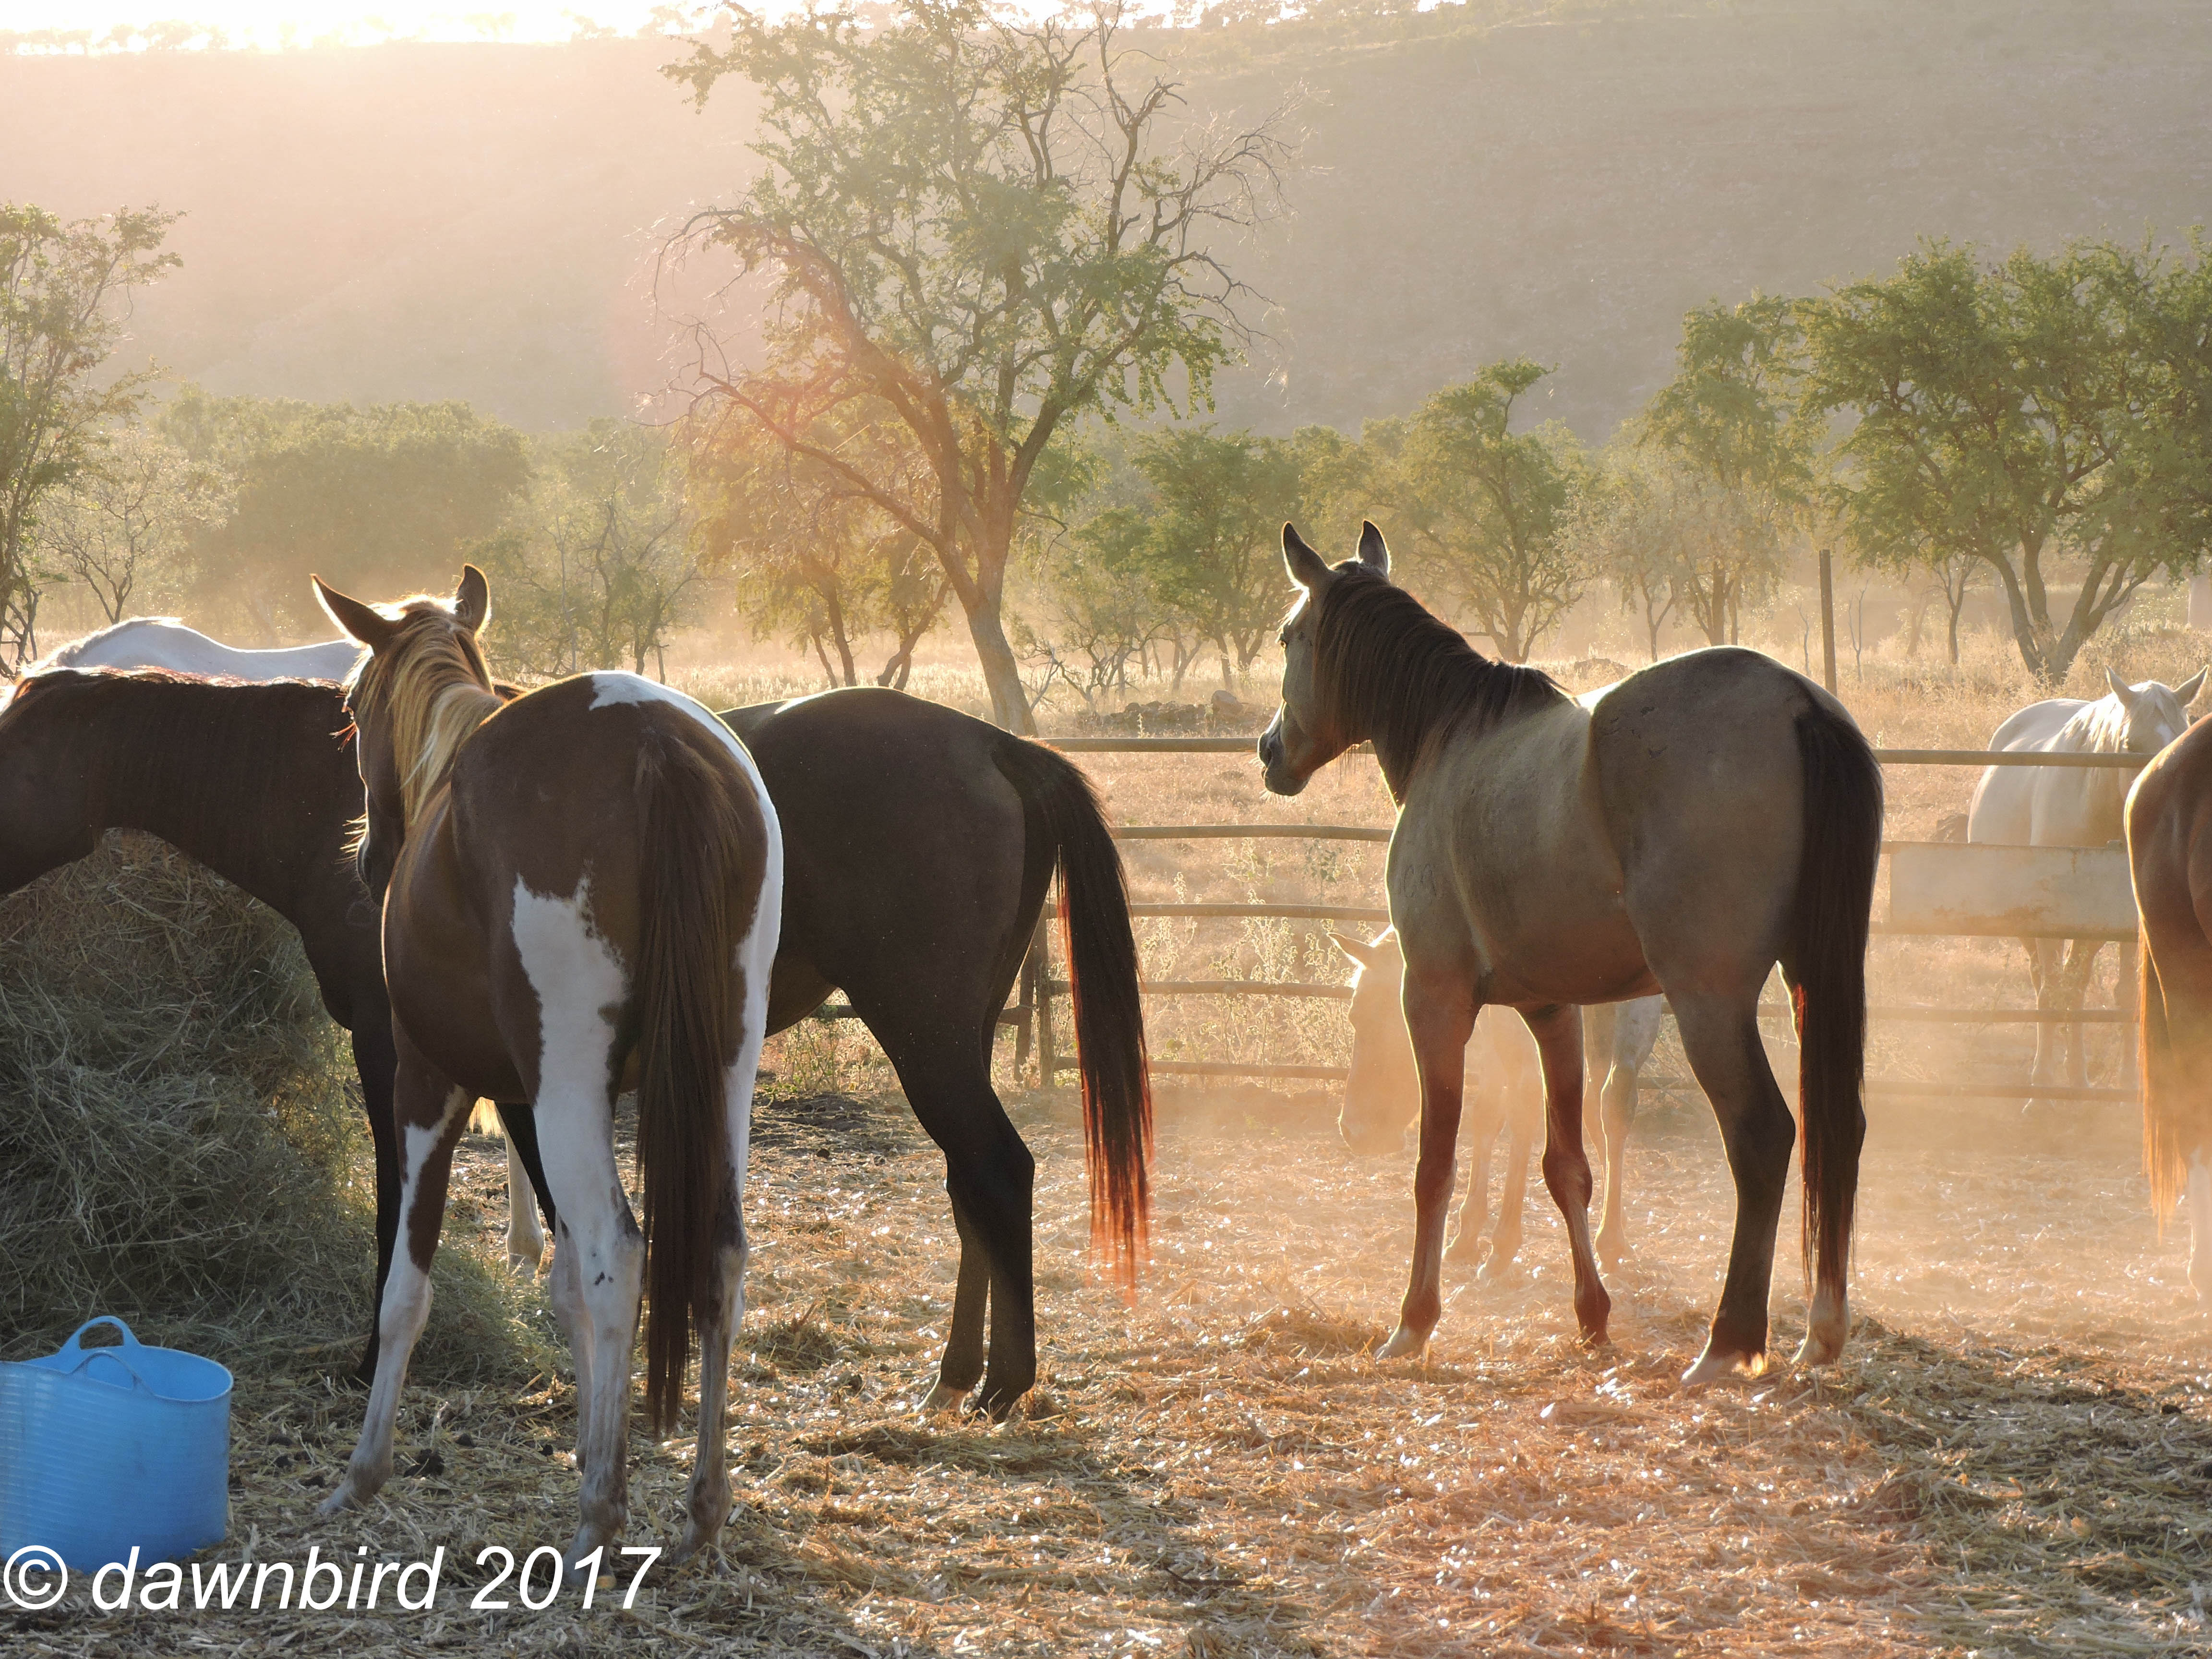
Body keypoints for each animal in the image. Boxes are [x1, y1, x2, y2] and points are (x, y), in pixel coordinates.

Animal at [0, 667, 1147, 1417]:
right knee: (970, 1185)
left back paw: (998, 1384)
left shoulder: (400, 1054)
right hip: (946, 1041)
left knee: (995, 1172)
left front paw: (382, 1354)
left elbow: (411, 1204)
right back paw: (958, 1376)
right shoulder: (524, 1067)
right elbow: (558, 1206)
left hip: (927, 1035)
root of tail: (993, 744)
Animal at [310, 567, 782, 1568]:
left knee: (619, 1253)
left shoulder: (428, 1084)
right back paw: (700, 1507)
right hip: (721, 1072)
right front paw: (587, 1442)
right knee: (717, 1254)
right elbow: (563, 1289)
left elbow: (407, 1285)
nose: (370, 856)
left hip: (567, 1092)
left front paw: (364, 1470)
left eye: (353, 707)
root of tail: (649, 736)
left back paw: (601, 1514)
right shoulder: (531, 1101)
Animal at [1331, 929, 1663, 1274]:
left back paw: (1506, 1244)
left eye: (1359, 1014)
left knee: (1530, 1104)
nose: (1353, 1129)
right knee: (1613, 1101)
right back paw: (1611, 1237)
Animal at [1970, 669, 2204, 1098]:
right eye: (2129, 745)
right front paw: (2047, 1088)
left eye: (2183, 737)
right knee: (2045, 981)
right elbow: (2055, 990)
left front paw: (2125, 1080)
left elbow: (2124, 994)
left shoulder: (2129, 922)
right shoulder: (2049, 918)